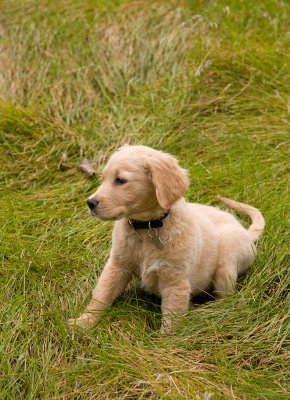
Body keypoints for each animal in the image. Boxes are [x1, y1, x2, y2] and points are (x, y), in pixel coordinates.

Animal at [68, 145, 266, 332]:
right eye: (103, 178)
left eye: (120, 180)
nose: (90, 203)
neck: (147, 228)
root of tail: (246, 232)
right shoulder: (117, 265)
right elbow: (102, 293)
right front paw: (83, 322)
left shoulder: (175, 282)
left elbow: (172, 318)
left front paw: (164, 342)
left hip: (226, 265)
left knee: (226, 297)